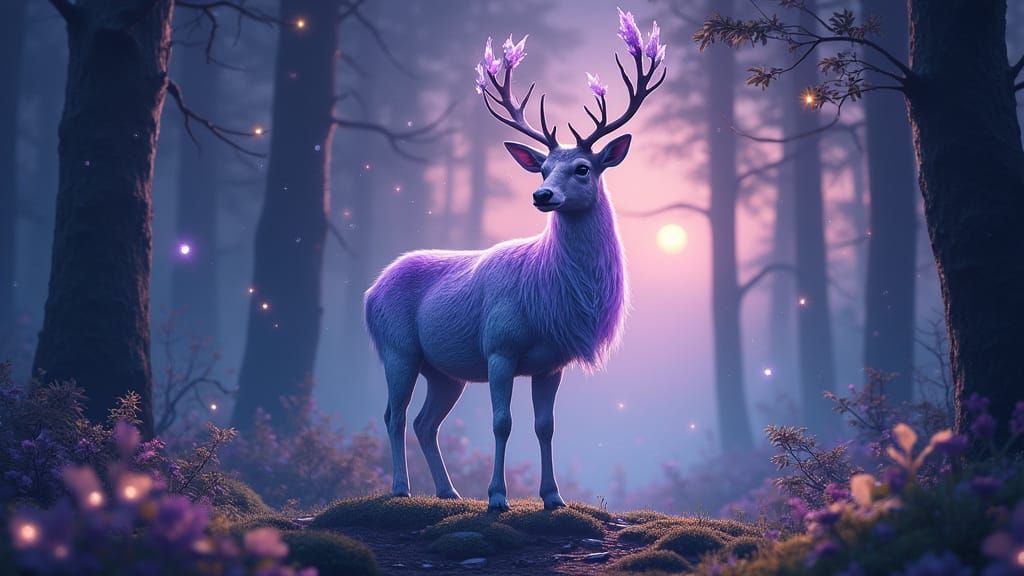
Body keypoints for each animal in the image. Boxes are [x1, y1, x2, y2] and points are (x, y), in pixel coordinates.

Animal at [365, 9, 666, 511]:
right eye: (542, 168)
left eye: (583, 168)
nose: (542, 195)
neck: (552, 296)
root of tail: (370, 292)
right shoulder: (499, 346)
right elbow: (502, 423)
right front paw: (497, 497)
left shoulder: (551, 362)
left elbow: (545, 426)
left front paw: (553, 496)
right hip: (397, 347)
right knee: (393, 414)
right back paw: (402, 488)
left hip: (444, 371)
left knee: (426, 421)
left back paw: (448, 491)